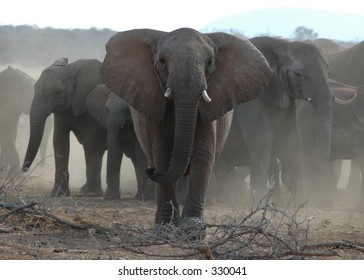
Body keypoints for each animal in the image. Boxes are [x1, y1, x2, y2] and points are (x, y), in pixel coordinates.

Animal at [22, 58, 107, 197]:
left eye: (58, 93)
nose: (24, 170)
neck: (71, 70)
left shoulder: (90, 107)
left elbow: (90, 143)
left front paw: (92, 194)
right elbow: (59, 140)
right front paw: (58, 194)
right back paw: (84, 189)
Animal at [101, 27, 272, 234]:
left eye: (209, 64)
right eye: (162, 62)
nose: (150, 171)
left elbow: (203, 153)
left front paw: (193, 229)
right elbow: (160, 153)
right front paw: (166, 226)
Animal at [213, 36, 336, 207]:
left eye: (328, 69)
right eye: (298, 74)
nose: (324, 200)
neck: (280, 45)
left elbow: (291, 141)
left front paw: (299, 203)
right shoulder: (251, 98)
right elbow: (261, 141)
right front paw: (258, 204)